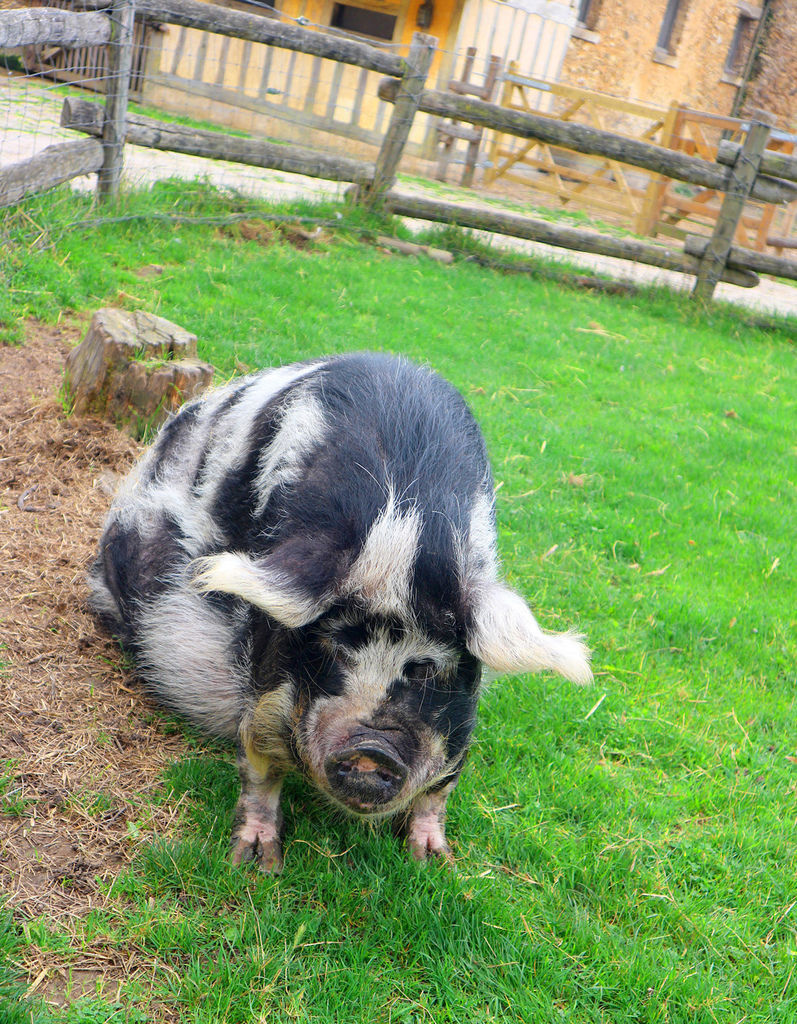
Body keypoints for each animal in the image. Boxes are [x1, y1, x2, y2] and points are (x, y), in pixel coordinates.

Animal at [88, 354, 590, 872]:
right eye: (335, 646)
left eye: (425, 667)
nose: (372, 749)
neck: (401, 523)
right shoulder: (270, 685)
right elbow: (259, 764)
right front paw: (256, 863)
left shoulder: (460, 727)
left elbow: (439, 790)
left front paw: (434, 862)